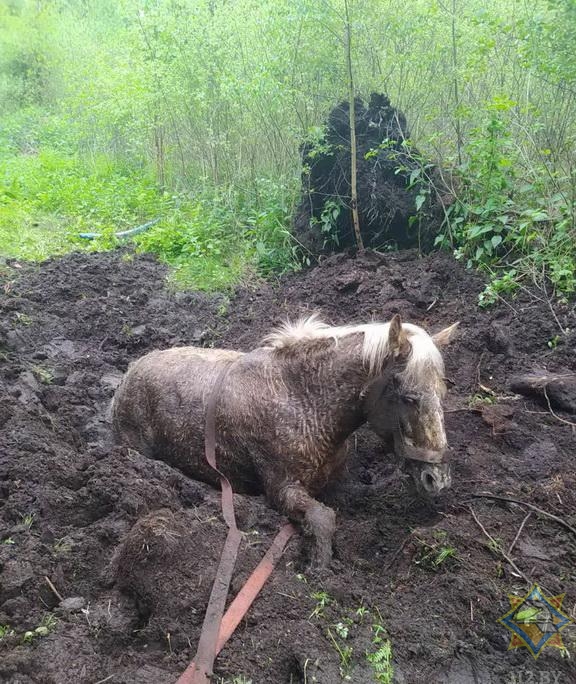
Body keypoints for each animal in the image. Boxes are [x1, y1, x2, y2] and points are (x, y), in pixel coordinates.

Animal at [112, 314, 460, 568]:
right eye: (409, 398)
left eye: (442, 393)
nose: (437, 479)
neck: (300, 400)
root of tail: (128, 375)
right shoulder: (282, 489)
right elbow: (323, 518)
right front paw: (319, 566)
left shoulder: (336, 484)